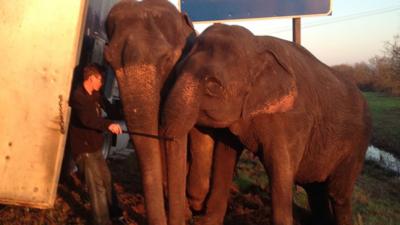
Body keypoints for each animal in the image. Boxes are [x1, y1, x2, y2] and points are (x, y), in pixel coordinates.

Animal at [162, 23, 372, 225]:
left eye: (213, 85)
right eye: (176, 71)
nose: (190, 213)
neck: (256, 44)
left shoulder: (292, 120)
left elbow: (280, 170)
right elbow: (225, 156)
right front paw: (208, 222)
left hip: (356, 147)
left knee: (338, 195)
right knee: (316, 191)